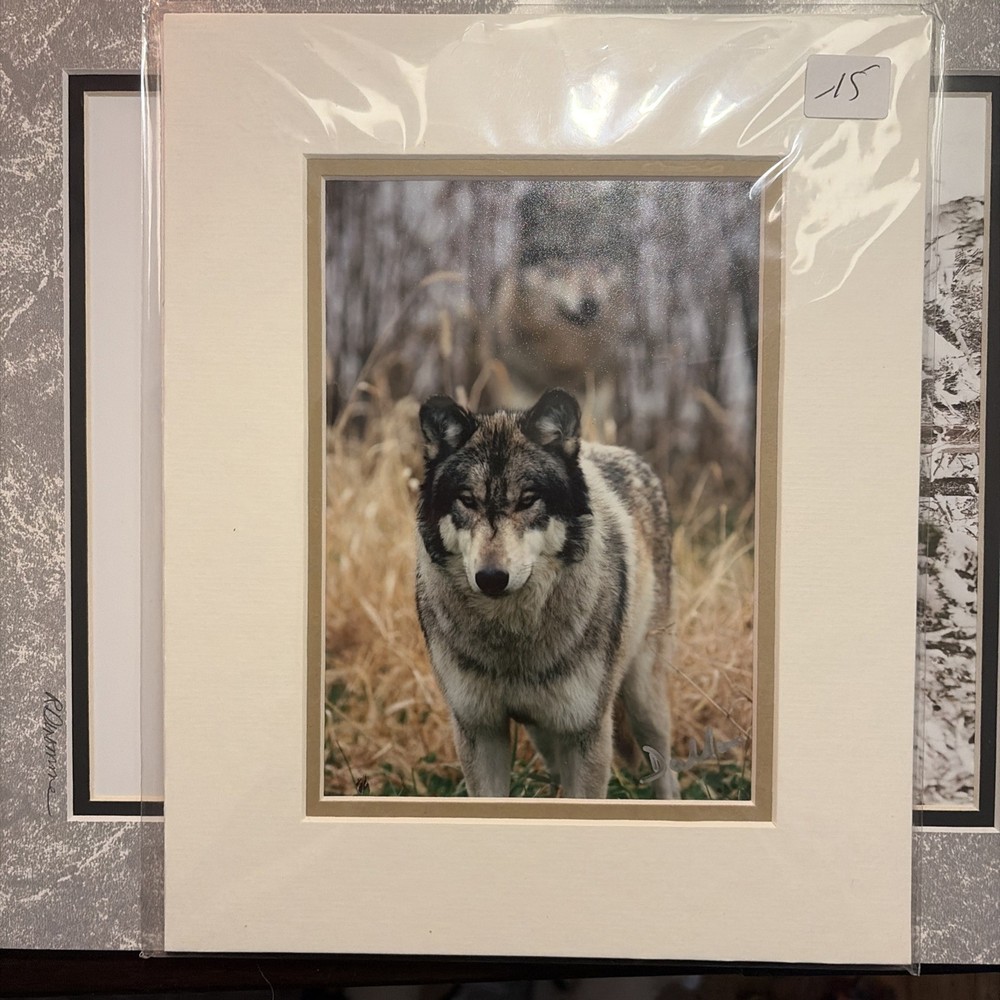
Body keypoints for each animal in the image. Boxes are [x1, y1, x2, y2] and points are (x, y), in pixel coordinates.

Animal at [415, 388, 678, 799]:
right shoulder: (479, 728)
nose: (491, 578)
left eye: (527, 500)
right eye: (467, 500)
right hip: (543, 733)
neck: (512, 643)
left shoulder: (585, 732)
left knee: (668, 772)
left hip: (643, 700)